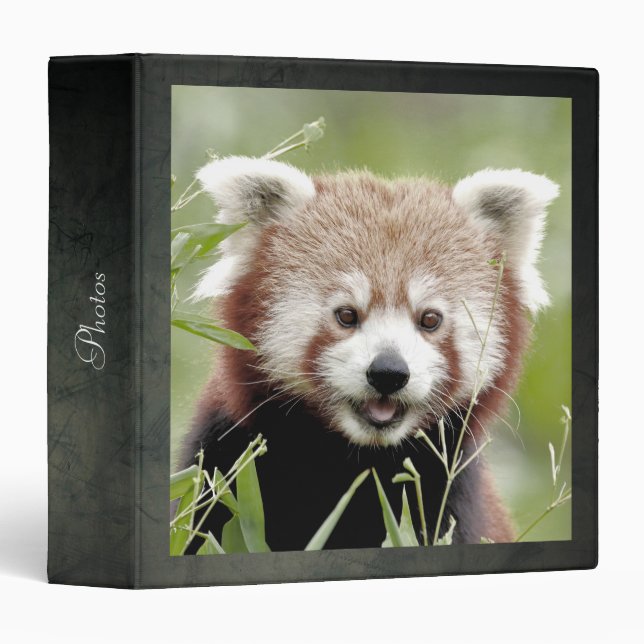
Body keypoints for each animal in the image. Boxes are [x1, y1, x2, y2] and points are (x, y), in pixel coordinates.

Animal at [179, 156, 559, 551]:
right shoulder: (223, 463)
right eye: (347, 315)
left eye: (429, 319)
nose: (388, 373)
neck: (355, 462)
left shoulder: (450, 498)